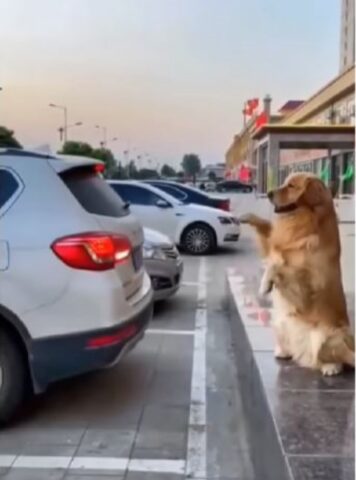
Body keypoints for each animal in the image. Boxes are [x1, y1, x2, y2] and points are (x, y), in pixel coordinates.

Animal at [241, 172, 354, 376]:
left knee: (341, 359)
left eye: (292, 186)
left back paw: (331, 366)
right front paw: (247, 217)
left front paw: (265, 284)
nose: (269, 193)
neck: (302, 225)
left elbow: (276, 265)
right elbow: (269, 238)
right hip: (280, 322)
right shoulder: (273, 245)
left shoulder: (306, 293)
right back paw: (284, 352)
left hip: (327, 337)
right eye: (285, 182)